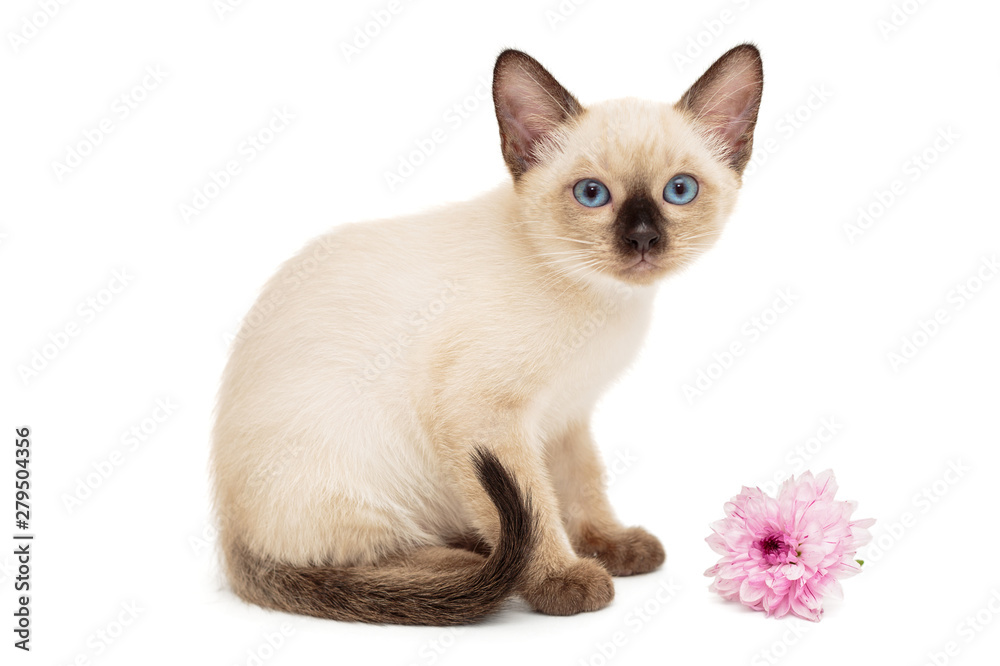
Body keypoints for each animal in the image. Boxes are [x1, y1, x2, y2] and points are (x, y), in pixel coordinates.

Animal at [209, 42, 756, 624]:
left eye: (680, 190)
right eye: (592, 194)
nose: (644, 239)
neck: (602, 301)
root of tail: (230, 540)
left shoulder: (566, 416)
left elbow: (580, 485)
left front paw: (607, 543)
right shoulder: (485, 419)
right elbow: (537, 509)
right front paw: (561, 578)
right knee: (364, 561)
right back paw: (473, 561)